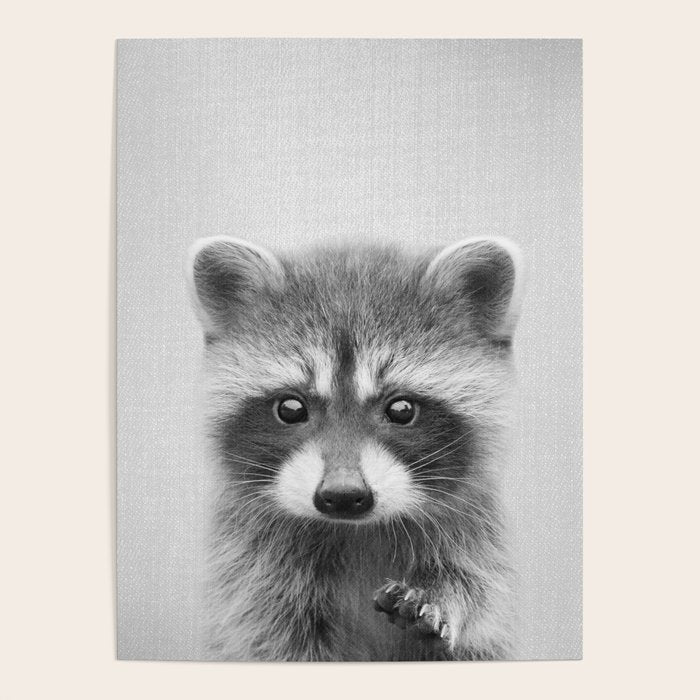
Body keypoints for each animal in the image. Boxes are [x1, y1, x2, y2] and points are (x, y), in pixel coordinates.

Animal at [186, 235, 524, 661]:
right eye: (291, 408)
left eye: (401, 409)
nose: (344, 495)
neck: (357, 531)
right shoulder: (251, 570)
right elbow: (268, 635)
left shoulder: (477, 535)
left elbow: (478, 594)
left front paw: (444, 598)